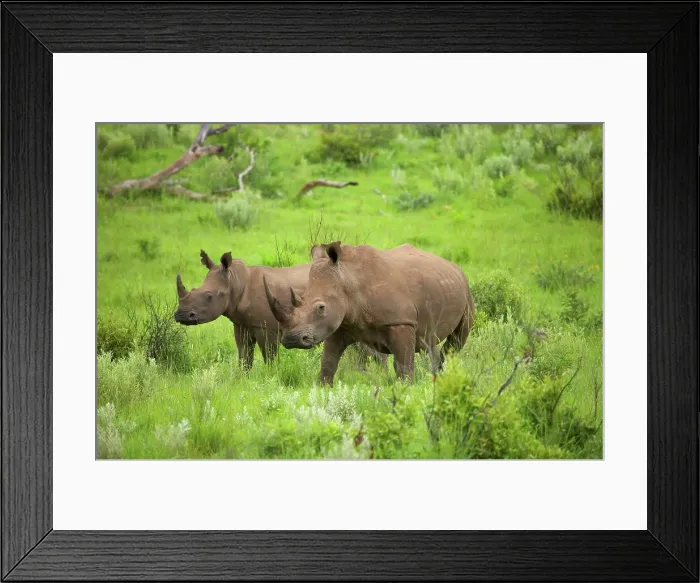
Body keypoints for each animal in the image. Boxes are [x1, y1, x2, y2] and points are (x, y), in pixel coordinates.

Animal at [174, 250, 385, 370]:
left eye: (209, 296)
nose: (181, 315)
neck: (236, 281)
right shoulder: (241, 324)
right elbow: (244, 356)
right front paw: (243, 378)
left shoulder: (266, 327)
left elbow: (269, 356)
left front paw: (271, 376)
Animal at [263, 242, 475, 384]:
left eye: (321, 307)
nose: (292, 340)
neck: (348, 281)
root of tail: (453, 266)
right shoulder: (338, 325)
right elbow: (328, 363)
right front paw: (324, 389)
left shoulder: (401, 322)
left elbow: (404, 366)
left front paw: (406, 391)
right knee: (431, 343)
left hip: (466, 289)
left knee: (456, 341)